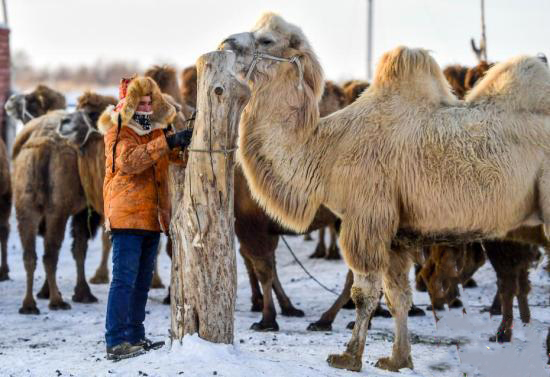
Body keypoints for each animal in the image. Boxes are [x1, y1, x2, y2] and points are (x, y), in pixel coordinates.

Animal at [221, 11, 550, 370]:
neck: (328, 150)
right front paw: (398, 359)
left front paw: (348, 356)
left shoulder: (367, 217)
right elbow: (397, 296)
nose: (225, 44)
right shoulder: (395, 234)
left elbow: (364, 292)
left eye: (266, 39)